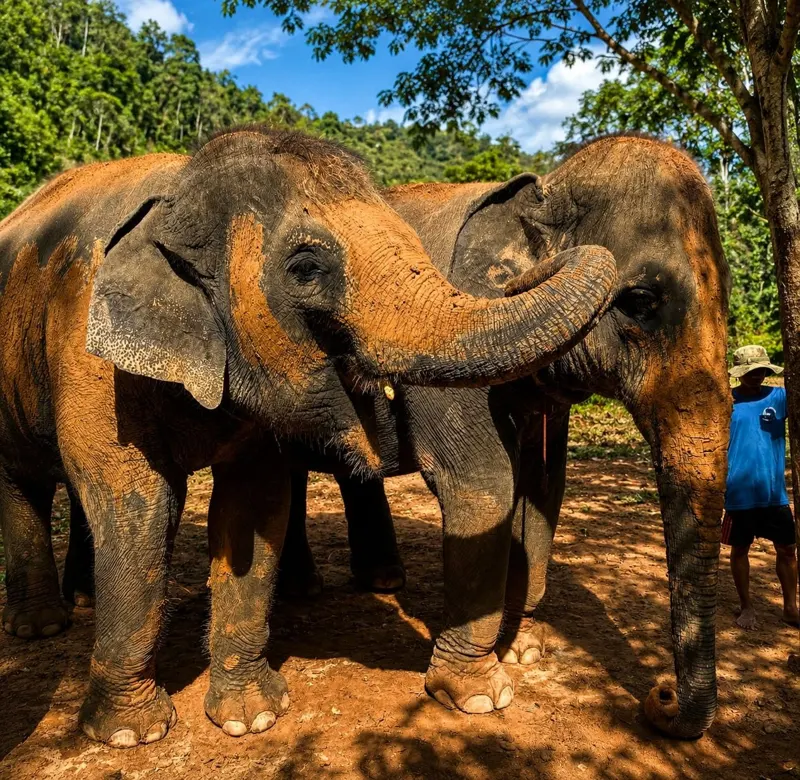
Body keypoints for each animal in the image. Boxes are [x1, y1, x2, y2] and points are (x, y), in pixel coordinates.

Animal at [0, 127, 617, 747]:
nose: (524, 264)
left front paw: (251, 717)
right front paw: (132, 733)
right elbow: (135, 501)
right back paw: (41, 627)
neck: (177, 188)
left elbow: (253, 504)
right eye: (305, 268)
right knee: (22, 483)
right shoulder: (87, 354)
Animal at [282, 135, 732, 739]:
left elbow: (543, 486)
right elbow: (484, 479)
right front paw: (477, 692)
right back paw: (304, 591)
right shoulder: (449, 342)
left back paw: (382, 583)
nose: (659, 696)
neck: (543, 187)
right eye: (639, 302)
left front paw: (525, 650)